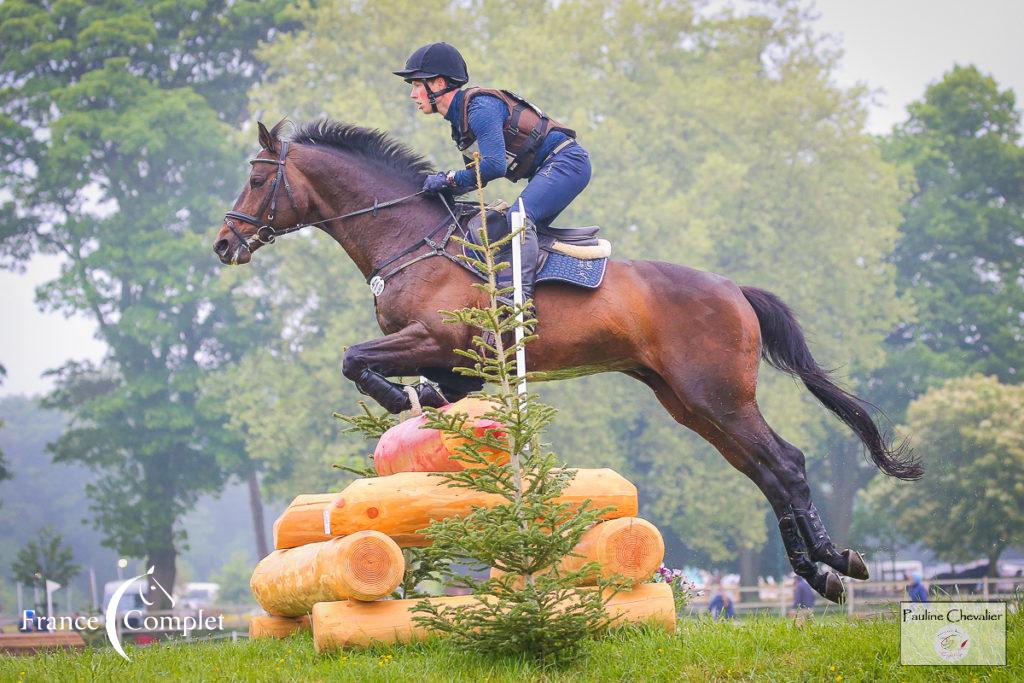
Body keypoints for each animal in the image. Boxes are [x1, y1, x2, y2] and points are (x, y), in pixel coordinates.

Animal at [214, 118, 921, 602]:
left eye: (256, 178)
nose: (224, 244)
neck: (410, 238)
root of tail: (733, 289)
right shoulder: (452, 363)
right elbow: (402, 378)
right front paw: (422, 407)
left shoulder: (437, 340)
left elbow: (354, 359)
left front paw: (397, 402)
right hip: (690, 403)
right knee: (765, 471)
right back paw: (821, 574)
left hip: (717, 394)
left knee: (787, 463)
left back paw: (838, 563)